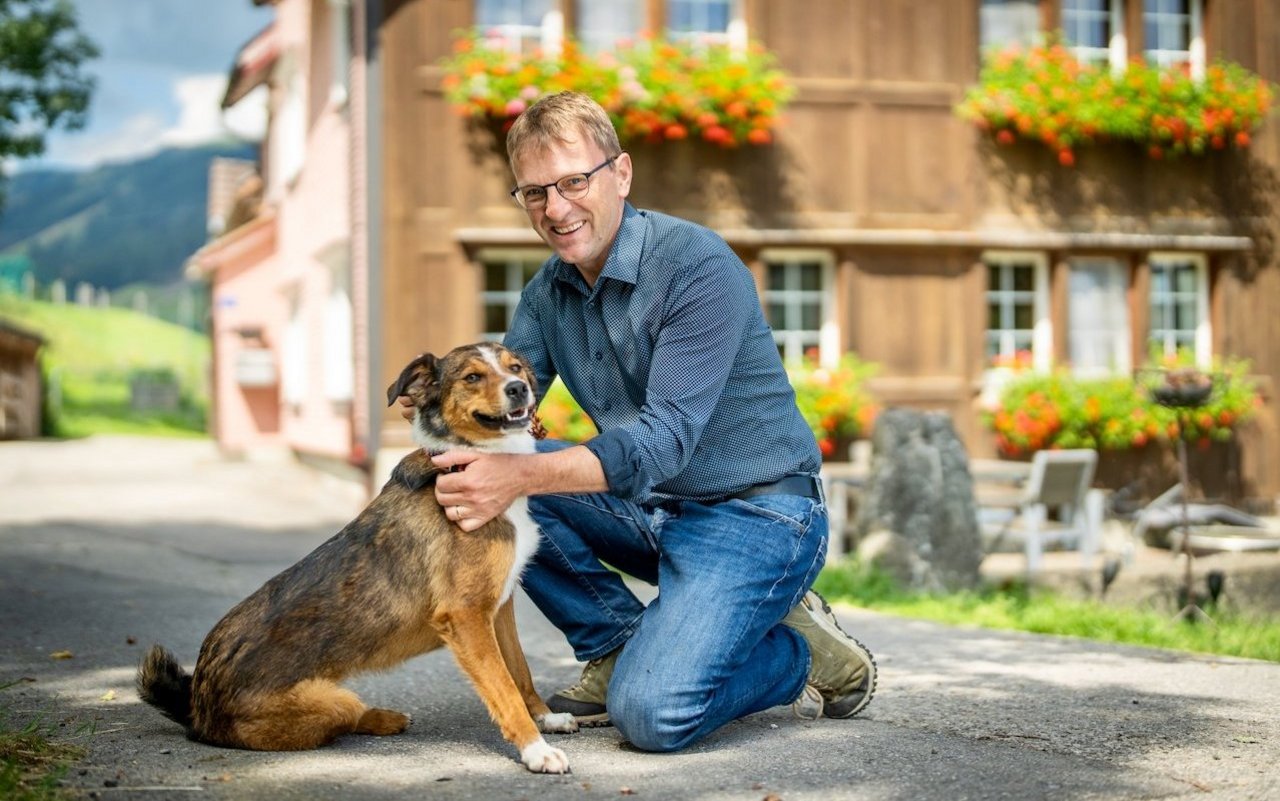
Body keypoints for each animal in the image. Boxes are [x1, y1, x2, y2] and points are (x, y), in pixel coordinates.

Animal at [138, 340, 576, 772]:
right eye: (472, 377)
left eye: (515, 368)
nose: (519, 388)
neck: (465, 461)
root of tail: (197, 705)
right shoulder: (467, 616)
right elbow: (504, 689)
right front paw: (535, 750)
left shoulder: (499, 608)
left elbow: (520, 672)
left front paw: (545, 717)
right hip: (332, 701)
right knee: (346, 717)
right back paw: (383, 718)